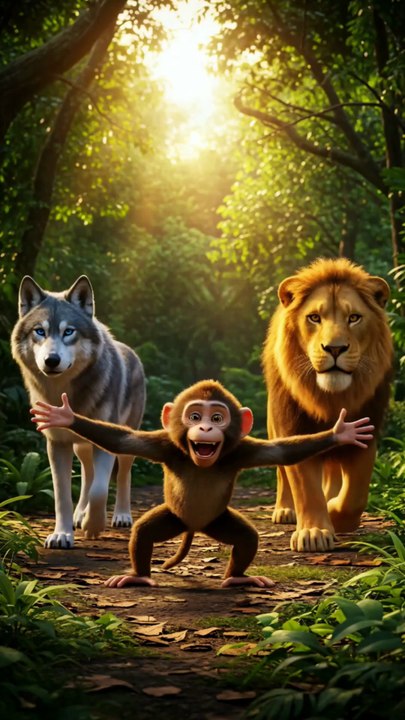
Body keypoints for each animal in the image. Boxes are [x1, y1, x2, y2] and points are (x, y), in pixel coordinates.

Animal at [11, 275, 146, 549]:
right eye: (39, 331)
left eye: (68, 331)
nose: (51, 360)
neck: (66, 396)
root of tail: (131, 351)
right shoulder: (57, 444)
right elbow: (62, 495)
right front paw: (62, 534)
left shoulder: (107, 442)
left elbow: (100, 490)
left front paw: (93, 525)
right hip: (80, 448)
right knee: (87, 474)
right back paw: (79, 514)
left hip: (125, 440)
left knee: (121, 475)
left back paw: (121, 516)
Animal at [30, 380, 374, 589]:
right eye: (195, 416)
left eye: (218, 418)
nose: (207, 427)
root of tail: (194, 526)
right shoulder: (164, 445)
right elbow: (121, 439)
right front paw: (64, 417)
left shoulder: (242, 450)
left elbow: (284, 451)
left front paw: (341, 433)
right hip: (175, 517)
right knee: (144, 533)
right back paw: (139, 577)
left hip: (216, 521)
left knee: (246, 538)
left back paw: (237, 578)